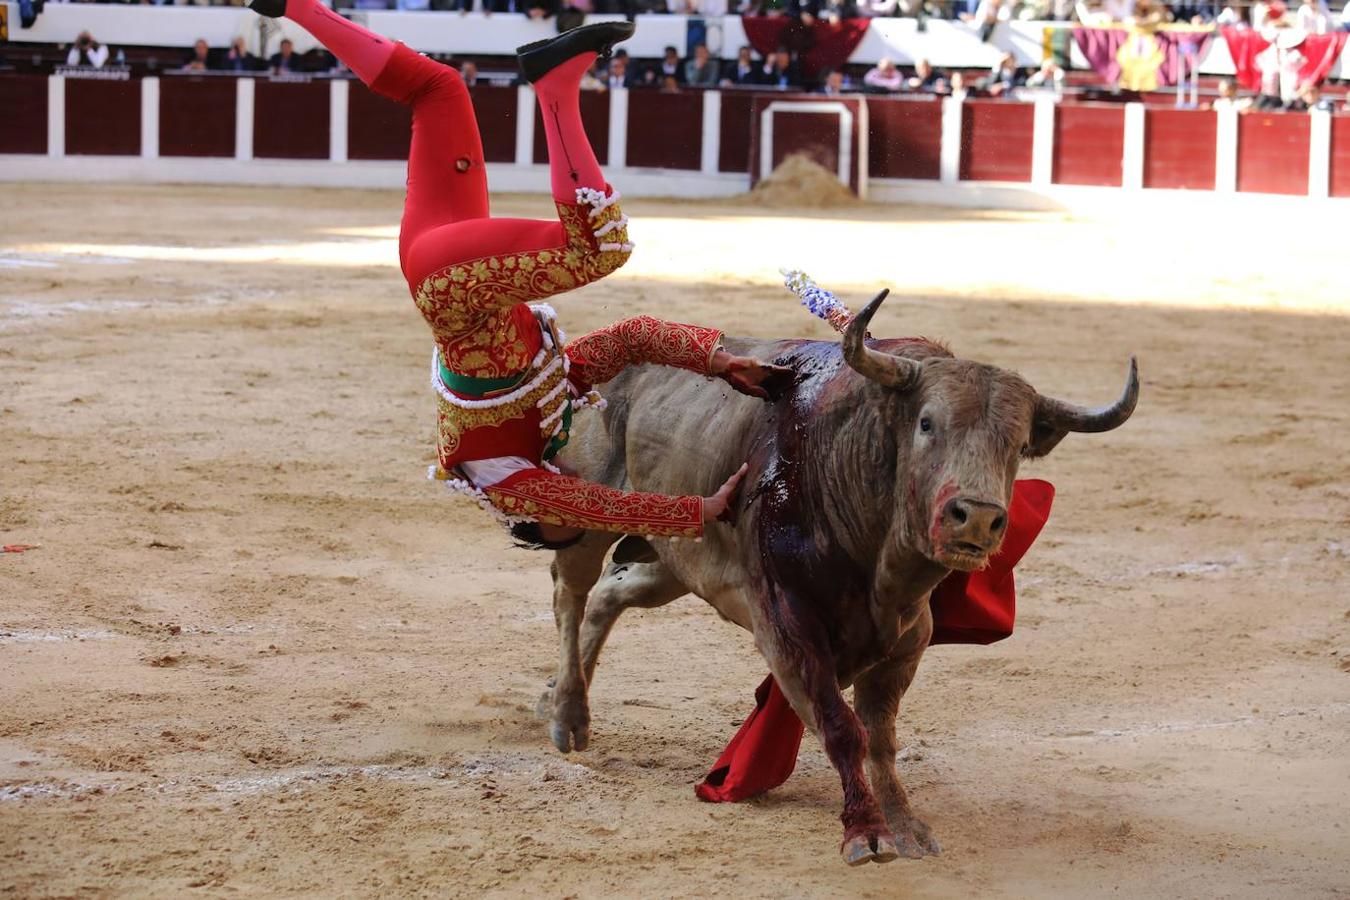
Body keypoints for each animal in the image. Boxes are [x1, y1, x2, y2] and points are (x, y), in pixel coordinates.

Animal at [537, 288, 1139, 863]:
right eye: (927, 423)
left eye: (1016, 446)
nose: (977, 518)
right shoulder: (788, 630)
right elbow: (842, 728)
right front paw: (866, 833)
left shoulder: (906, 642)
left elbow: (881, 737)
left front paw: (904, 824)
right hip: (585, 516)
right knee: (572, 592)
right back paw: (567, 715)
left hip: (676, 560)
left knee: (611, 595)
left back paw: (557, 701)